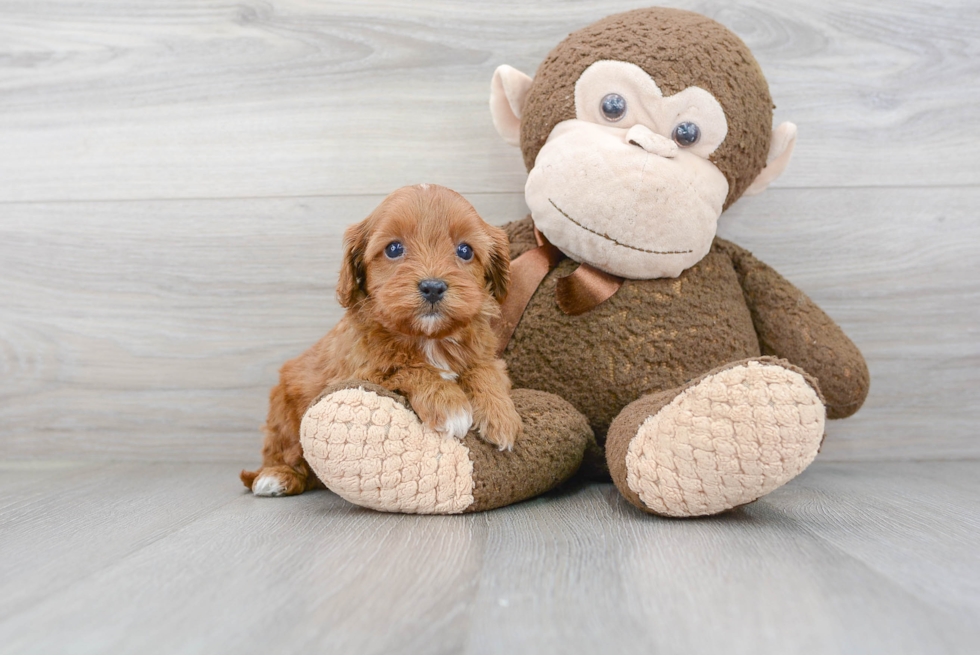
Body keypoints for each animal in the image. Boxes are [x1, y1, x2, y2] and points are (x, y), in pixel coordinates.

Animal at [242, 184, 524, 498]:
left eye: (464, 250)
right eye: (394, 249)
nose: (433, 287)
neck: (428, 338)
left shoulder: (486, 356)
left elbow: (484, 371)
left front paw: (501, 416)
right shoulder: (359, 371)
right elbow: (405, 368)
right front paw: (449, 404)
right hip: (283, 412)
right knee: (286, 454)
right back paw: (275, 477)